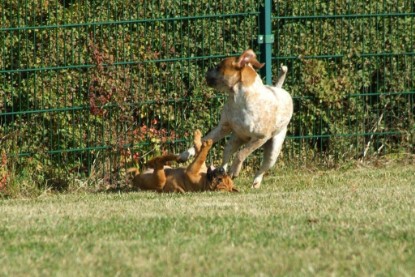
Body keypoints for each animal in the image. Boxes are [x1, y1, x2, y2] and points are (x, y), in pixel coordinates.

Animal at [180, 49, 294, 188]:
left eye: (219, 67)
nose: (207, 70)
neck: (238, 98)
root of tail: (279, 88)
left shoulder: (260, 137)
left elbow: (241, 154)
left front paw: (235, 170)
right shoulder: (223, 127)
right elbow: (204, 140)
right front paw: (185, 154)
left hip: (273, 151)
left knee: (261, 168)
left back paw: (255, 183)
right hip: (235, 139)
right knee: (226, 156)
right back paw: (220, 172)